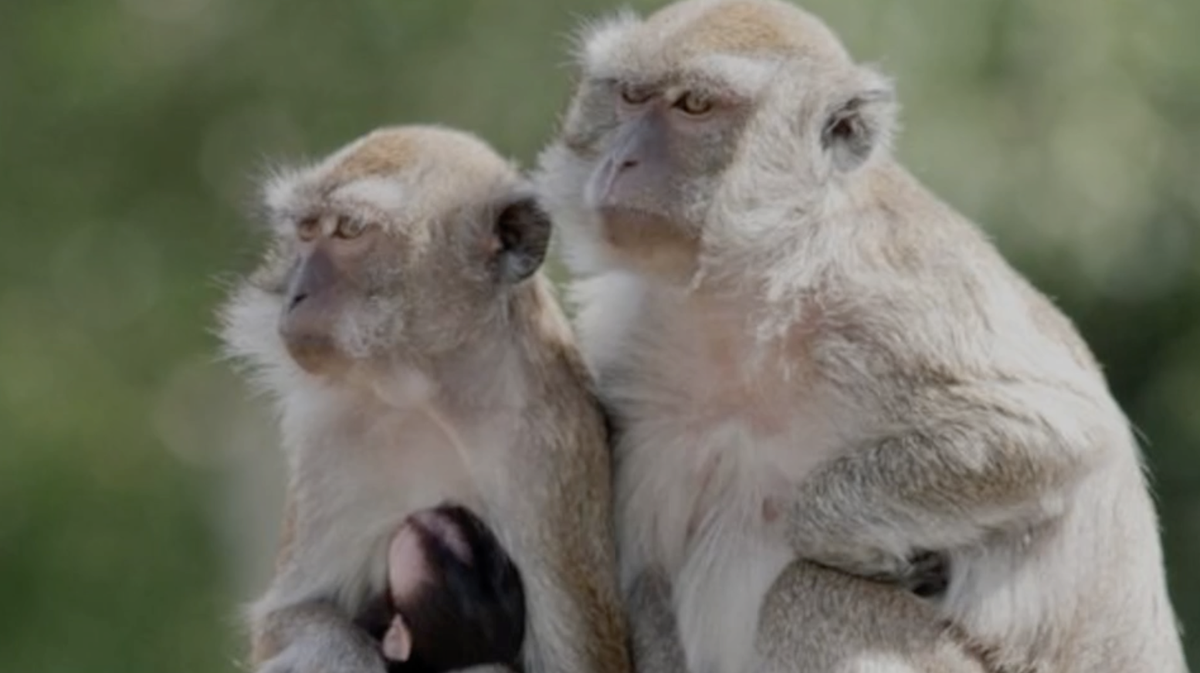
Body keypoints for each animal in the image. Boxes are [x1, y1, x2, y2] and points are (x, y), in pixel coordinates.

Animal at [535, 1, 1190, 671]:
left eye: (694, 104)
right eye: (630, 96)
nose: (622, 161)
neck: (750, 291)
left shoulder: (891, 302)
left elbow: (1054, 433)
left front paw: (843, 539)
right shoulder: (632, 360)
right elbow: (647, 582)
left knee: (808, 594)